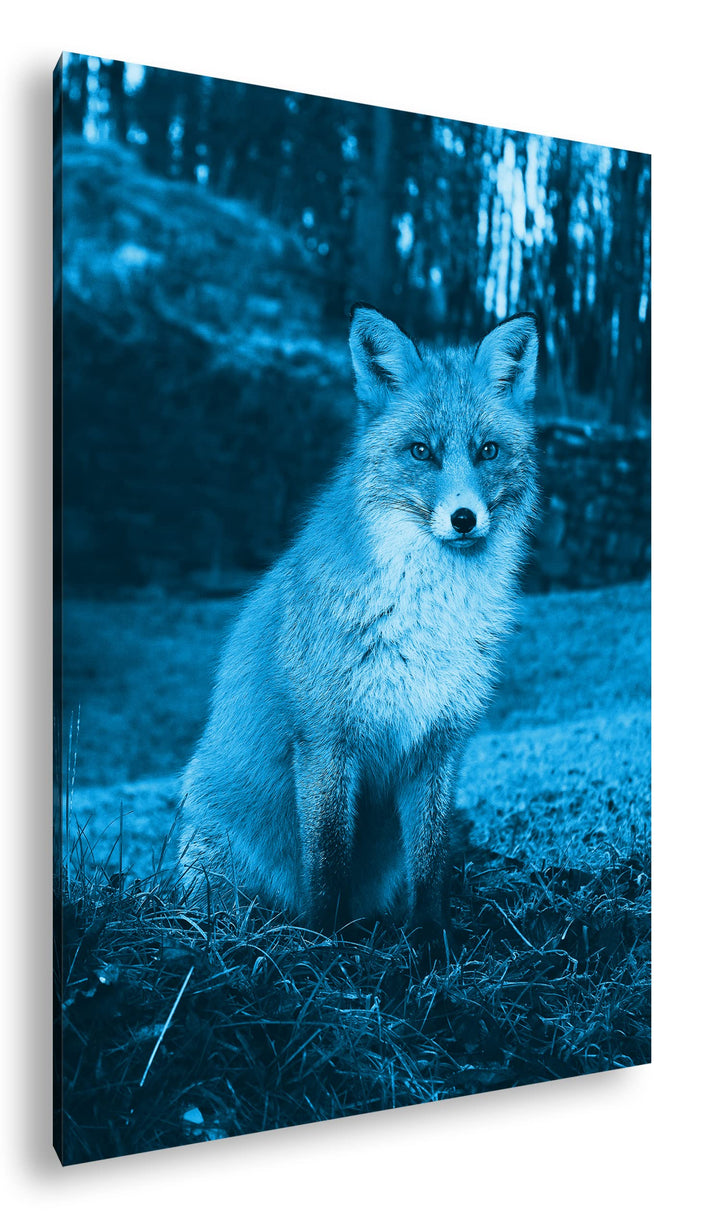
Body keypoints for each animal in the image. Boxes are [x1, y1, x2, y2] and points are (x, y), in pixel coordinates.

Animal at [176, 305, 539, 939]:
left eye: (488, 451)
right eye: (421, 452)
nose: (464, 518)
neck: (426, 615)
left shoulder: (438, 743)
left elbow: (431, 862)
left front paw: (431, 941)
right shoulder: (326, 739)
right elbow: (327, 859)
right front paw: (324, 940)